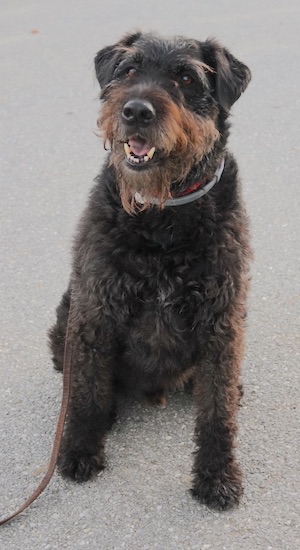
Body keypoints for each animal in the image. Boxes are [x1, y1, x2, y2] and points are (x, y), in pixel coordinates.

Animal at [48, 31, 251, 512]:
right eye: (129, 70)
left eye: (186, 78)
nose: (136, 111)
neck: (162, 215)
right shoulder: (94, 311)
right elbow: (86, 393)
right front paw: (80, 448)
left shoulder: (222, 321)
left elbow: (216, 412)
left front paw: (217, 475)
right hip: (65, 315)